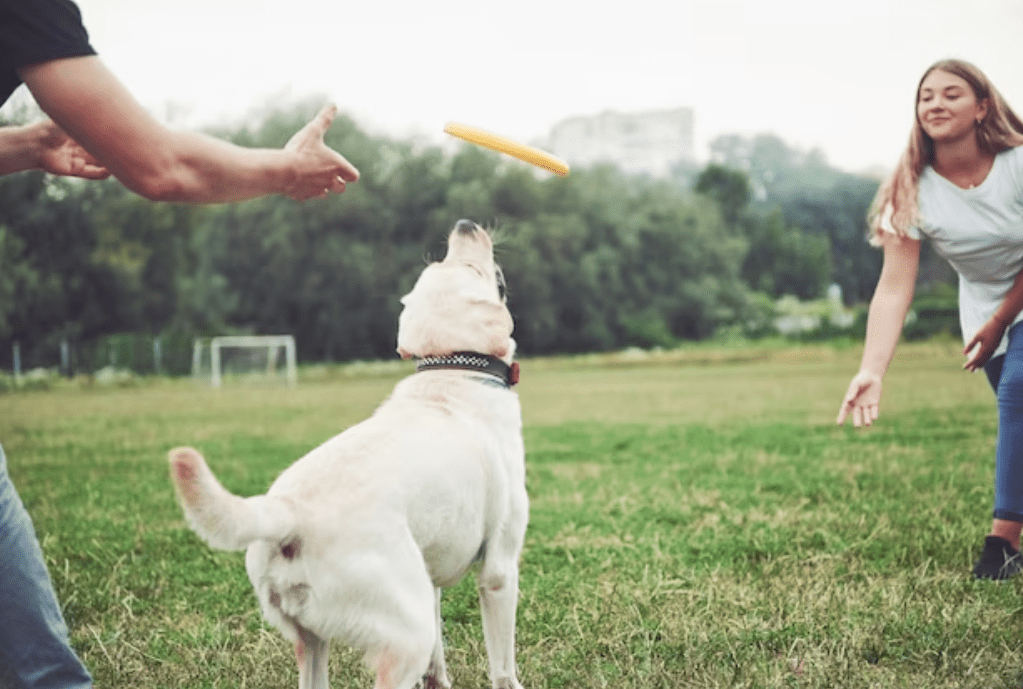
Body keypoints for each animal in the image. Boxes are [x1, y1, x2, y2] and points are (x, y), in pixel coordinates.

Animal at [167, 221, 527, 686]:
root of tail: (288, 512)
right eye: (470, 269)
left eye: (440, 264)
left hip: (316, 639)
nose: (465, 225)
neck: (452, 370)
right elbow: (503, 669)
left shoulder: (429, 580)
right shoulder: (499, 570)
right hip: (404, 635)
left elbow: (437, 667)